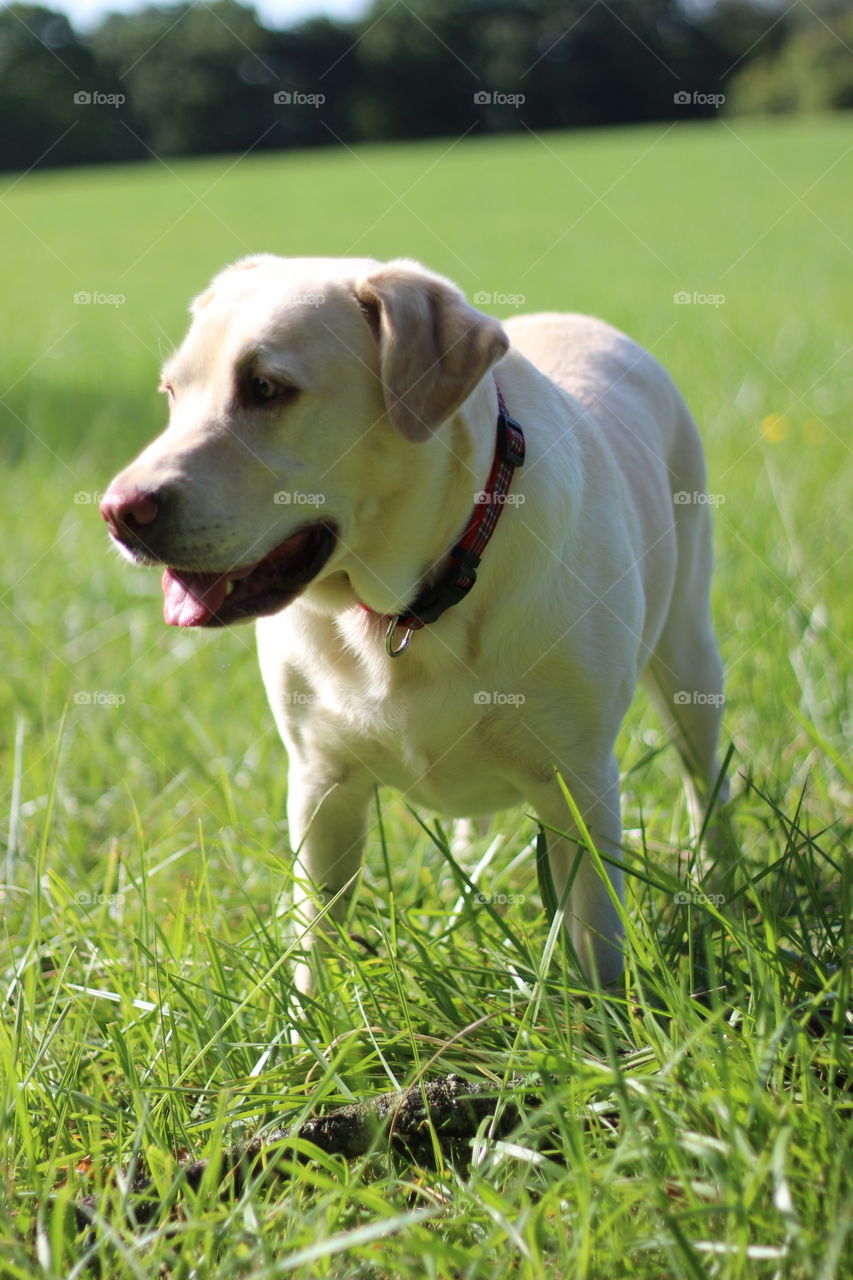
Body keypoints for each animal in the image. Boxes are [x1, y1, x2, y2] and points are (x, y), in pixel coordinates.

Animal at [99, 252, 722, 988]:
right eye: (172, 393)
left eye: (266, 388)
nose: (119, 511)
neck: (409, 605)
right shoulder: (321, 784)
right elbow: (315, 937)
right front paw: (309, 1020)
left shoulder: (581, 787)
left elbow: (596, 942)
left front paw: (608, 1019)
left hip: (690, 653)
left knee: (704, 775)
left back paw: (718, 876)